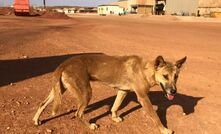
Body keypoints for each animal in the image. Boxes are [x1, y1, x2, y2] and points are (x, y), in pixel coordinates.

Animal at [32, 52, 186, 133]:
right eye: (165, 76)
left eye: (176, 77)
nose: (174, 91)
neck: (146, 70)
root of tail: (64, 63)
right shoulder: (143, 97)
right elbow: (155, 116)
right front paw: (164, 130)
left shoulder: (123, 91)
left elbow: (115, 106)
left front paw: (114, 117)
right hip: (86, 92)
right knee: (78, 113)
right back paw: (90, 126)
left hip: (59, 90)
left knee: (42, 103)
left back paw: (36, 120)